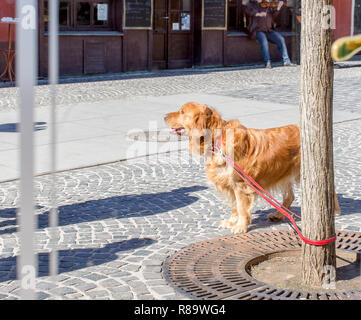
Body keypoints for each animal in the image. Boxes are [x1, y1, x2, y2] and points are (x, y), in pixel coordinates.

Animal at [165, 101, 338, 234]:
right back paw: (279, 214)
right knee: (289, 196)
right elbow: (235, 206)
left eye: (182, 111)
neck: (218, 139)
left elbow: (242, 208)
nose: (164, 116)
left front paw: (241, 226)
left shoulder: (241, 185)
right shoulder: (232, 185)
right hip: (283, 174)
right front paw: (232, 221)